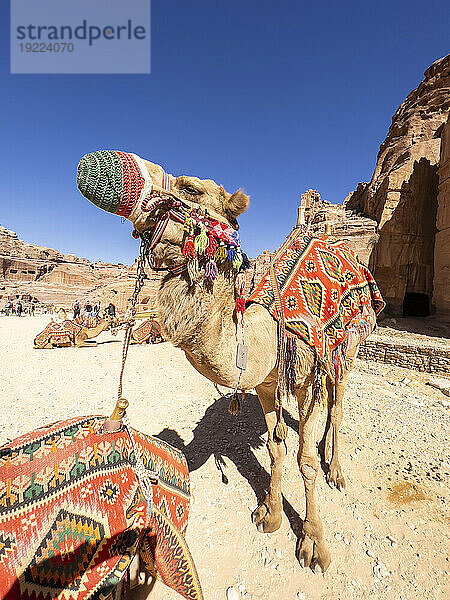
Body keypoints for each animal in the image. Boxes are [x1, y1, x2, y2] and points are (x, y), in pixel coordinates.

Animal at [78, 150, 384, 572]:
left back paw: (334, 467)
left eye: (191, 188)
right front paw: (270, 514)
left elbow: (304, 460)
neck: (265, 326)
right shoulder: (266, 383)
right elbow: (276, 449)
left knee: (337, 405)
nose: (96, 167)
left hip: (348, 347)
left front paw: (313, 541)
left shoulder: (306, 375)